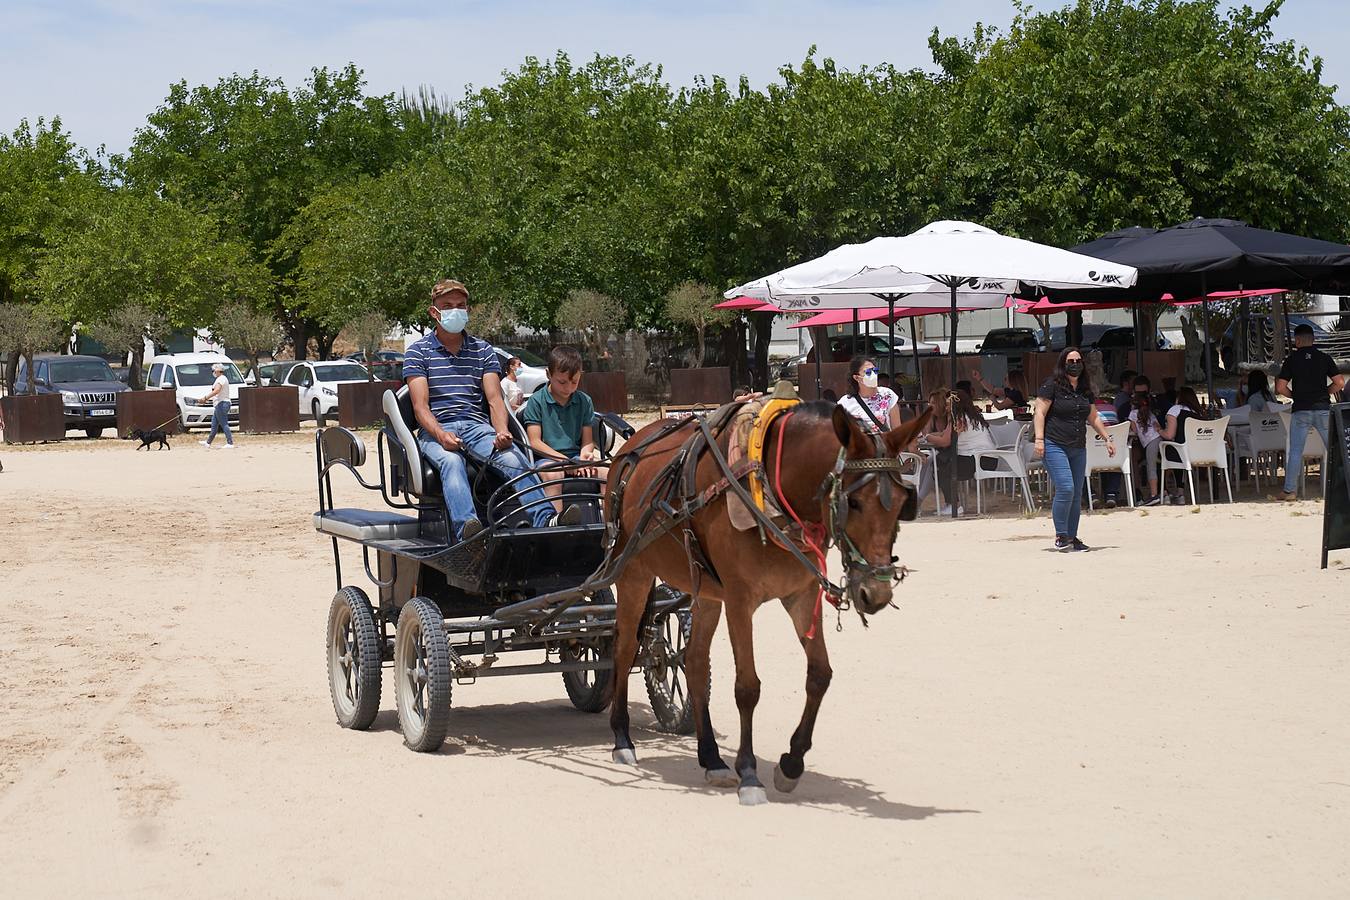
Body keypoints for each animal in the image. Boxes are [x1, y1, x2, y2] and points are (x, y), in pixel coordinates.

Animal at [604, 396, 928, 804]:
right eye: (853, 502)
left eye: (902, 501)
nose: (877, 591)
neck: (770, 483)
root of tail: (628, 448)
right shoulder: (740, 600)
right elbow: (748, 687)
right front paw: (749, 773)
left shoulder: (801, 595)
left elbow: (819, 675)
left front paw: (791, 763)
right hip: (633, 572)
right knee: (624, 647)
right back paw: (622, 738)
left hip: (705, 589)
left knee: (694, 662)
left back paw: (711, 758)